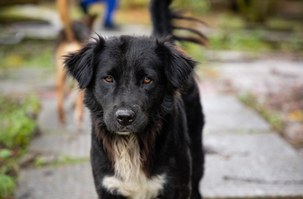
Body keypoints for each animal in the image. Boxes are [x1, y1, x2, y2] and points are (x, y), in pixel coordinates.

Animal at [65, 35, 205, 198]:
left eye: (147, 79)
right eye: (108, 78)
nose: (124, 117)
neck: (130, 142)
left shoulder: (177, 186)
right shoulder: (106, 184)